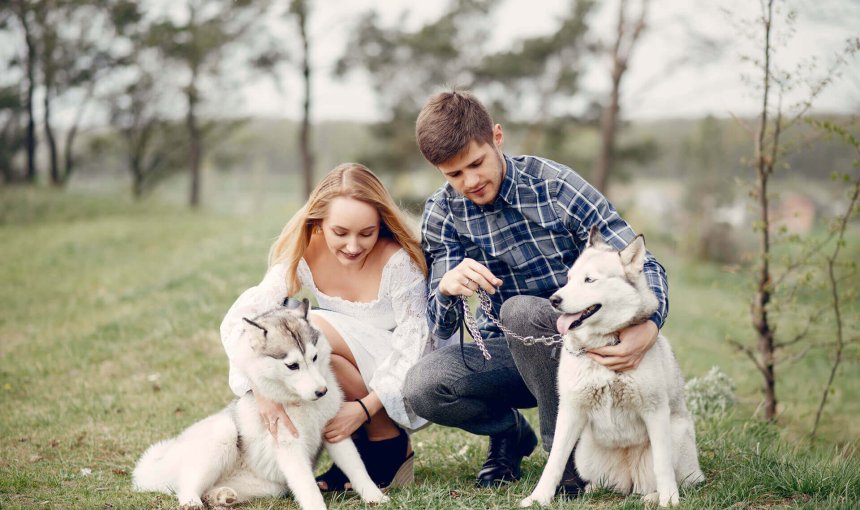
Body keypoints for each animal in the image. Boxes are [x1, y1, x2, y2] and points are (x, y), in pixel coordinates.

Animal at [133, 298, 388, 510]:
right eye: (292, 365)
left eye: (314, 357)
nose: (321, 392)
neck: (303, 404)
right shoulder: (289, 447)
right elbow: (308, 487)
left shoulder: (335, 431)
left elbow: (357, 468)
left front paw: (374, 496)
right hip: (223, 432)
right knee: (186, 484)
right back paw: (191, 501)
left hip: (271, 487)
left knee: (209, 490)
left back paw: (220, 496)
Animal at [520, 229, 704, 508]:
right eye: (569, 279)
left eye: (589, 280)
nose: (554, 299)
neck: (604, 344)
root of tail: (629, 478)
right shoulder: (571, 410)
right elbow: (554, 462)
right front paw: (539, 498)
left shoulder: (655, 410)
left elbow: (663, 465)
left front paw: (669, 500)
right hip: (584, 451)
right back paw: (593, 489)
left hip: (675, 434)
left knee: (672, 479)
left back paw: (654, 496)